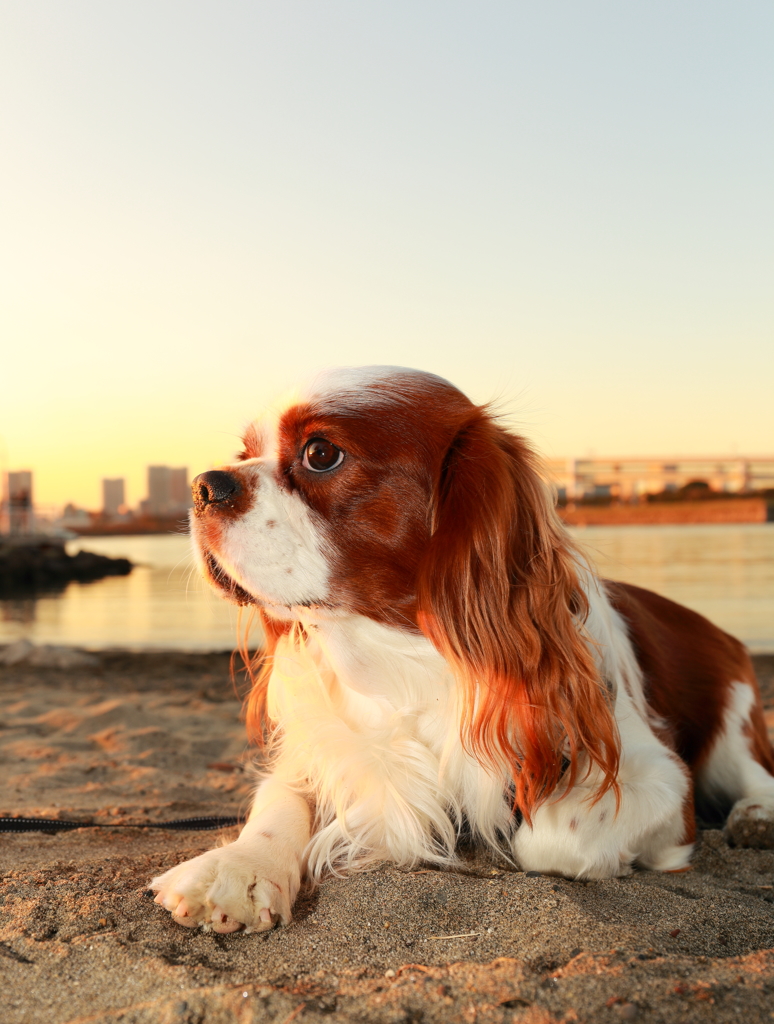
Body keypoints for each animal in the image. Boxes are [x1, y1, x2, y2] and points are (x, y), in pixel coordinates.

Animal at [151, 364, 774, 933]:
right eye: (245, 452)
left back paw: (758, 815)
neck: (404, 660)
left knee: (751, 771)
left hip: (732, 714)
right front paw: (238, 868)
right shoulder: (331, 746)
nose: (205, 485)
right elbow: (282, 798)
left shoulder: (660, 779)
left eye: (321, 453)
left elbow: (550, 839)